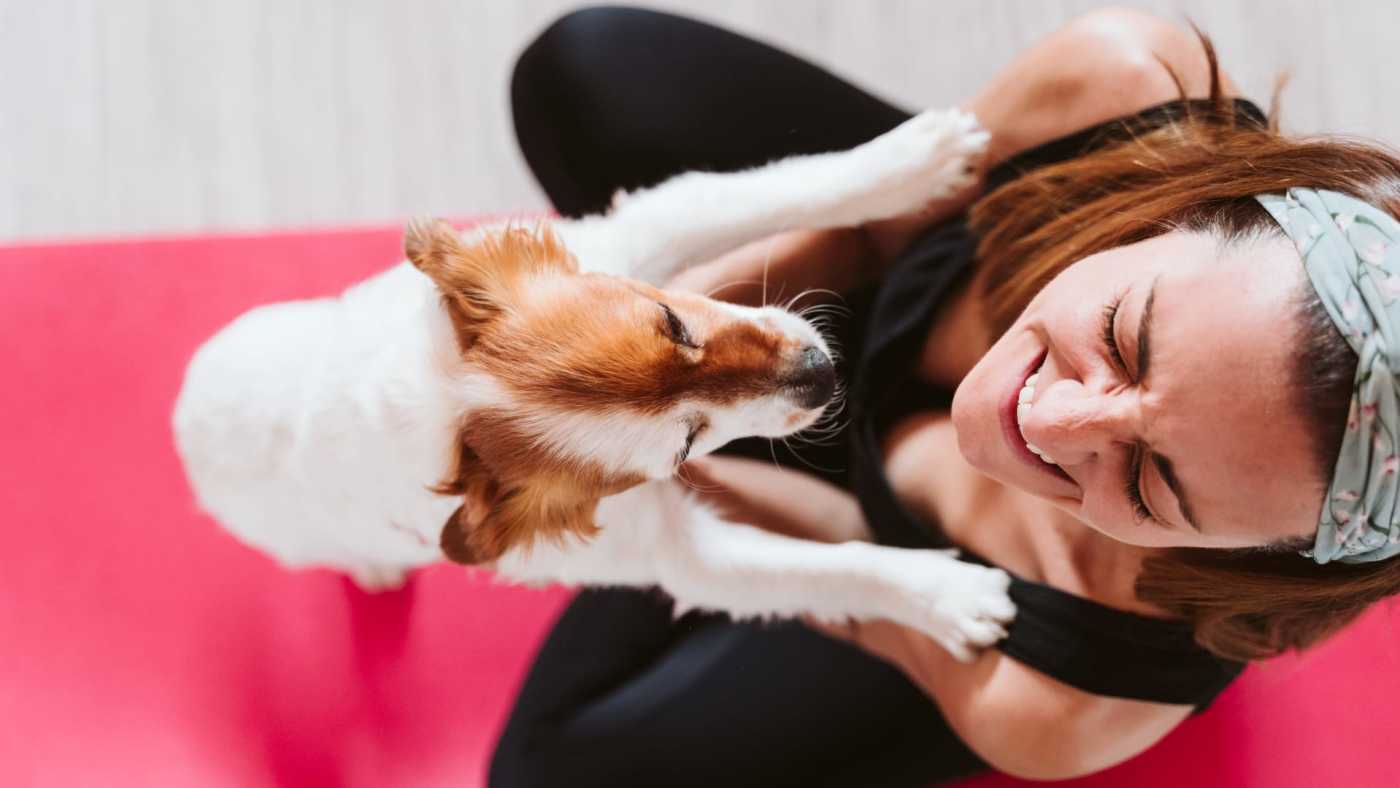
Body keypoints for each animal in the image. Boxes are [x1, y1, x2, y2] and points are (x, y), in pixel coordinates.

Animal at [172, 106, 1019, 660]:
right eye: (685, 445)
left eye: (674, 323)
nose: (823, 371)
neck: (444, 410)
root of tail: (183, 414)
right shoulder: (676, 556)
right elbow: (827, 570)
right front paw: (946, 598)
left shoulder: (633, 235)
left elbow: (776, 190)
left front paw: (915, 161)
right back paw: (372, 566)